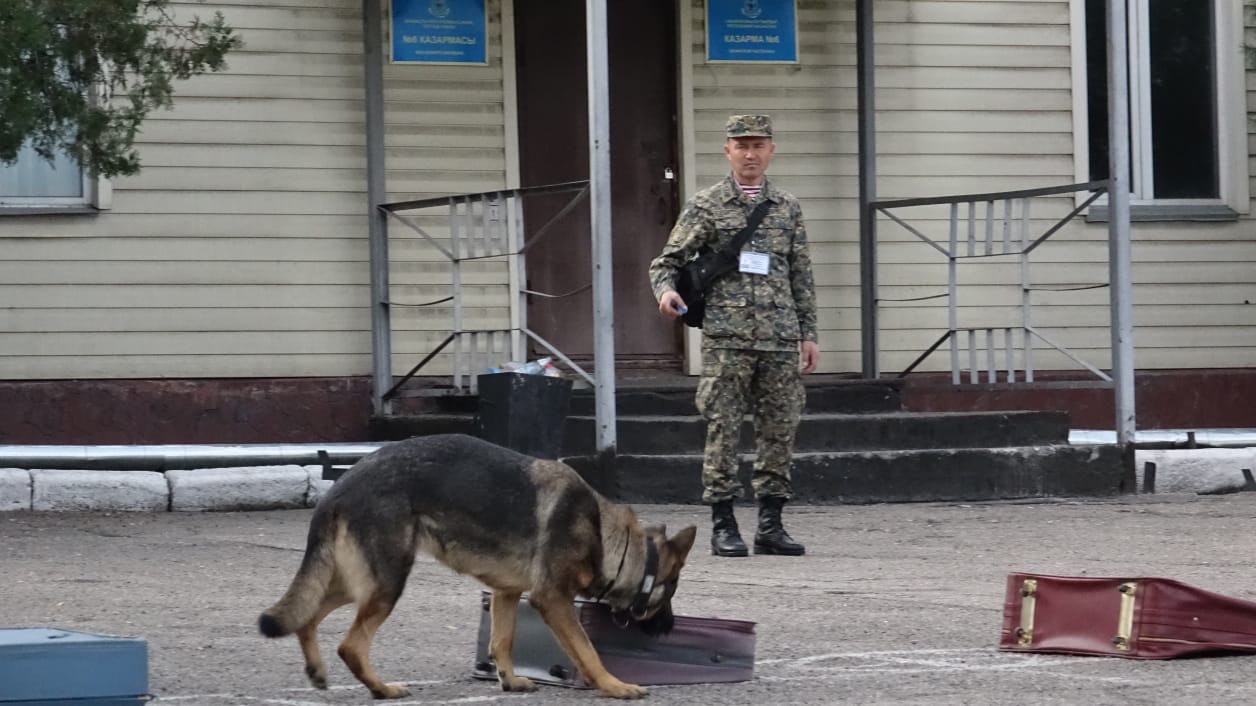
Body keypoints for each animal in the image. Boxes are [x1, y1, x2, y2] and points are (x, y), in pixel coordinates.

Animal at [259, 432, 703, 693]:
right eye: (671, 592)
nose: (671, 628)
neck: (605, 536)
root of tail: (341, 486)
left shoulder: (507, 593)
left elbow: (502, 641)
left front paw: (509, 679)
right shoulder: (552, 600)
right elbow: (587, 649)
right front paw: (615, 685)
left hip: (356, 581)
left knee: (307, 617)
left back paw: (318, 672)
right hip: (386, 582)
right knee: (350, 645)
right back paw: (382, 689)